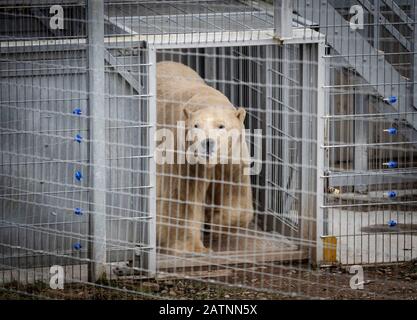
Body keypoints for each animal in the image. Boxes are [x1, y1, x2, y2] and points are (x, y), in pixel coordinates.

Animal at [156, 61, 254, 254]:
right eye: (196, 125)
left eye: (221, 126)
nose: (207, 143)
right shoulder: (185, 158)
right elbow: (185, 196)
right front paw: (193, 247)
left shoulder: (232, 157)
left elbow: (235, 194)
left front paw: (215, 222)